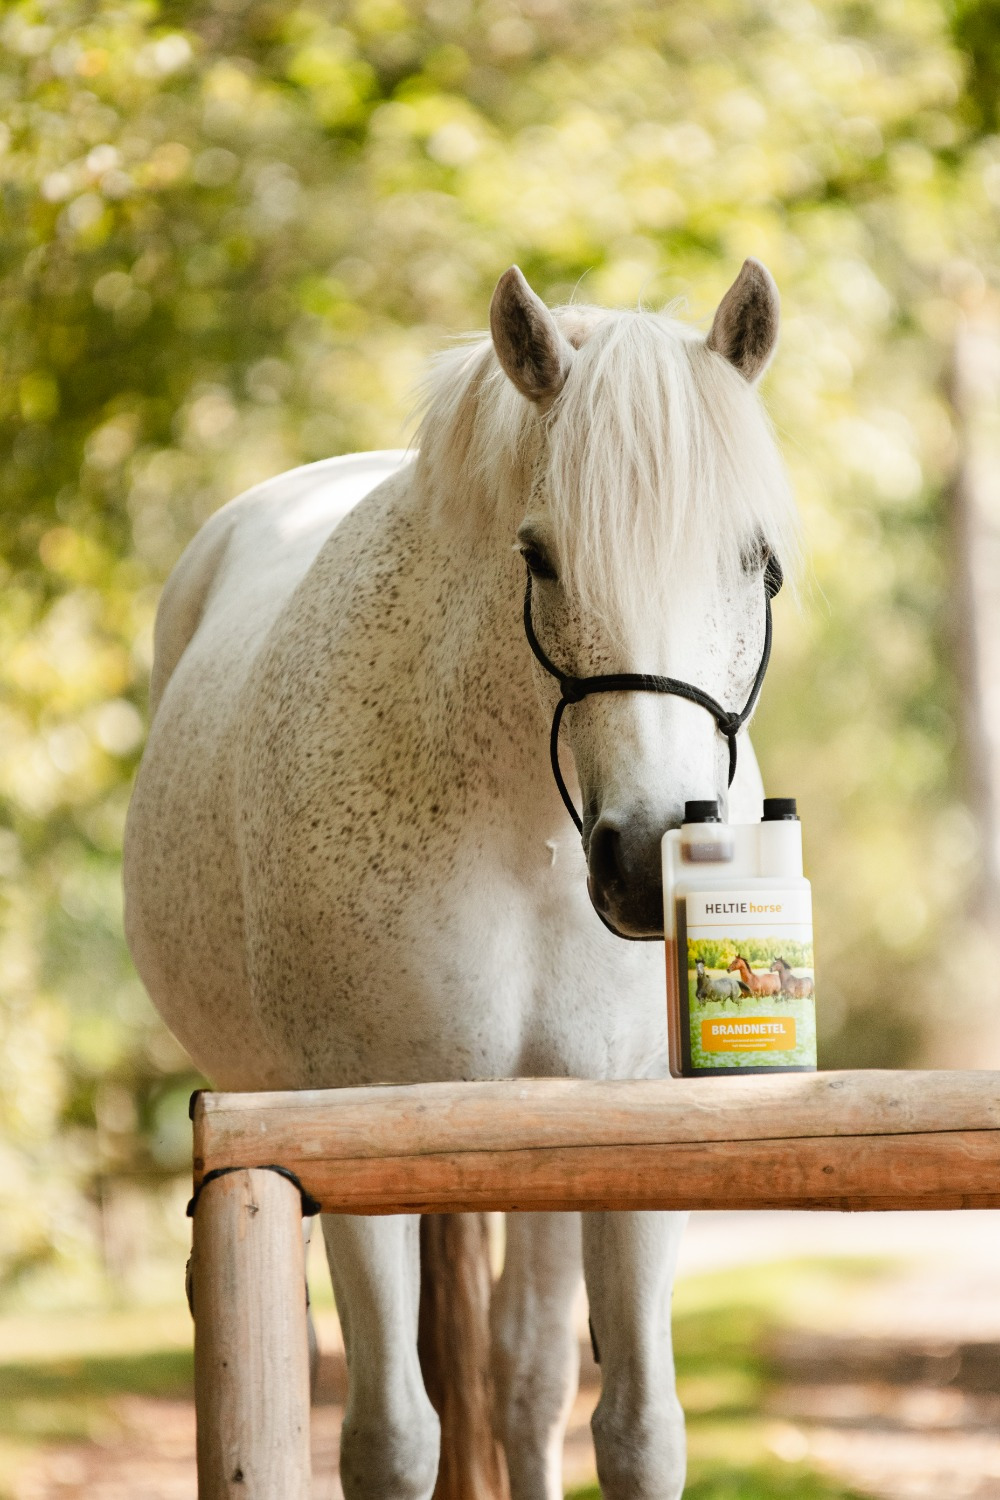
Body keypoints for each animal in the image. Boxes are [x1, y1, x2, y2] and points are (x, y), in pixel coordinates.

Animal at [123, 257, 796, 1500]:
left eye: (756, 561)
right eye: (538, 556)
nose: (647, 858)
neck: (521, 836)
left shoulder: (636, 1141)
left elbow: (631, 1427)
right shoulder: (343, 1144)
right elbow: (390, 1440)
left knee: (526, 1375)